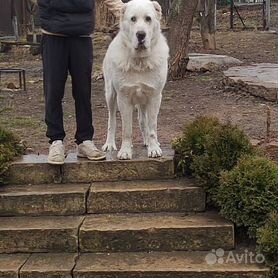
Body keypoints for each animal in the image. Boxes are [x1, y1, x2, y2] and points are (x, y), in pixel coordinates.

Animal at [101, 0, 168, 160]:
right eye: (133, 19)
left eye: (148, 19)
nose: (141, 34)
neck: (140, 62)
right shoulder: (123, 98)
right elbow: (127, 130)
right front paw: (125, 151)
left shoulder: (154, 97)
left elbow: (152, 126)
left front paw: (154, 148)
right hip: (110, 95)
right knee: (111, 120)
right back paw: (110, 144)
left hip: (143, 100)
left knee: (143, 121)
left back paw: (147, 142)